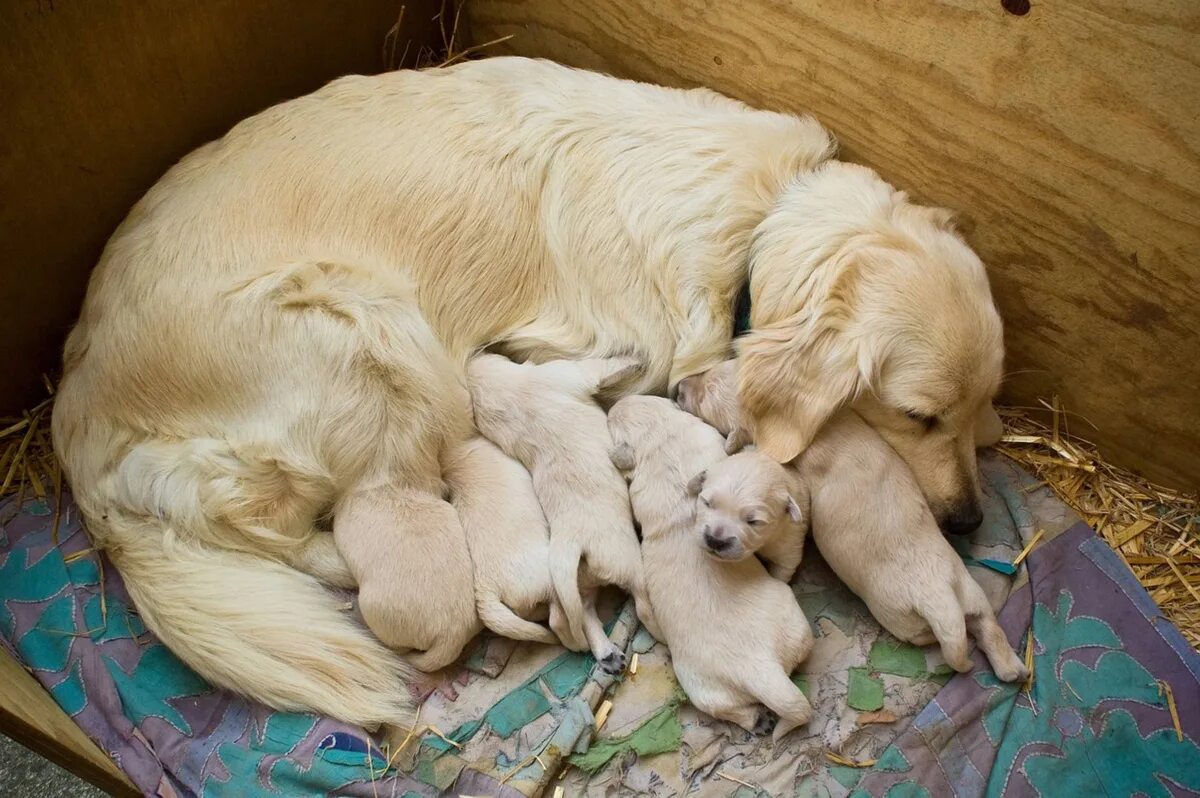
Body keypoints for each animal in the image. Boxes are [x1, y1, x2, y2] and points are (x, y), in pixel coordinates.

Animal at [465, 355, 657, 672]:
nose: (475, 357)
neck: (513, 400)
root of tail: (572, 544)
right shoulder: (566, 373)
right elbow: (600, 367)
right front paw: (632, 360)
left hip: (579, 584)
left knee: (581, 614)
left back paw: (607, 653)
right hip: (627, 563)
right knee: (637, 600)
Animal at [609, 393, 816, 739]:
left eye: (610, 421)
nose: (613, 405)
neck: (663, 439)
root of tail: (761, 668)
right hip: (712, 685)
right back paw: (760, 720)